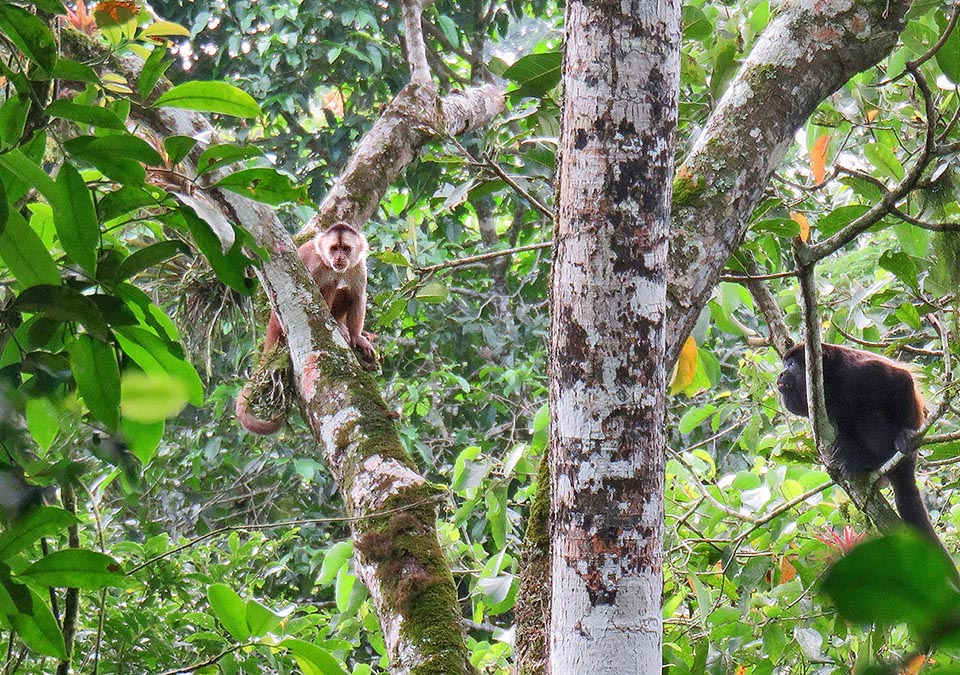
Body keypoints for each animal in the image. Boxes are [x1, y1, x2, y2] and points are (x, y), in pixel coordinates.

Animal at [234, 222, 376, 434]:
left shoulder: (358, 266)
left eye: (345, 249)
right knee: (331, 284)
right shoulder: (316, 265)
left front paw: (357, 337)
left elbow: (358, 296)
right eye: (334, 249)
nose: (339, 258)